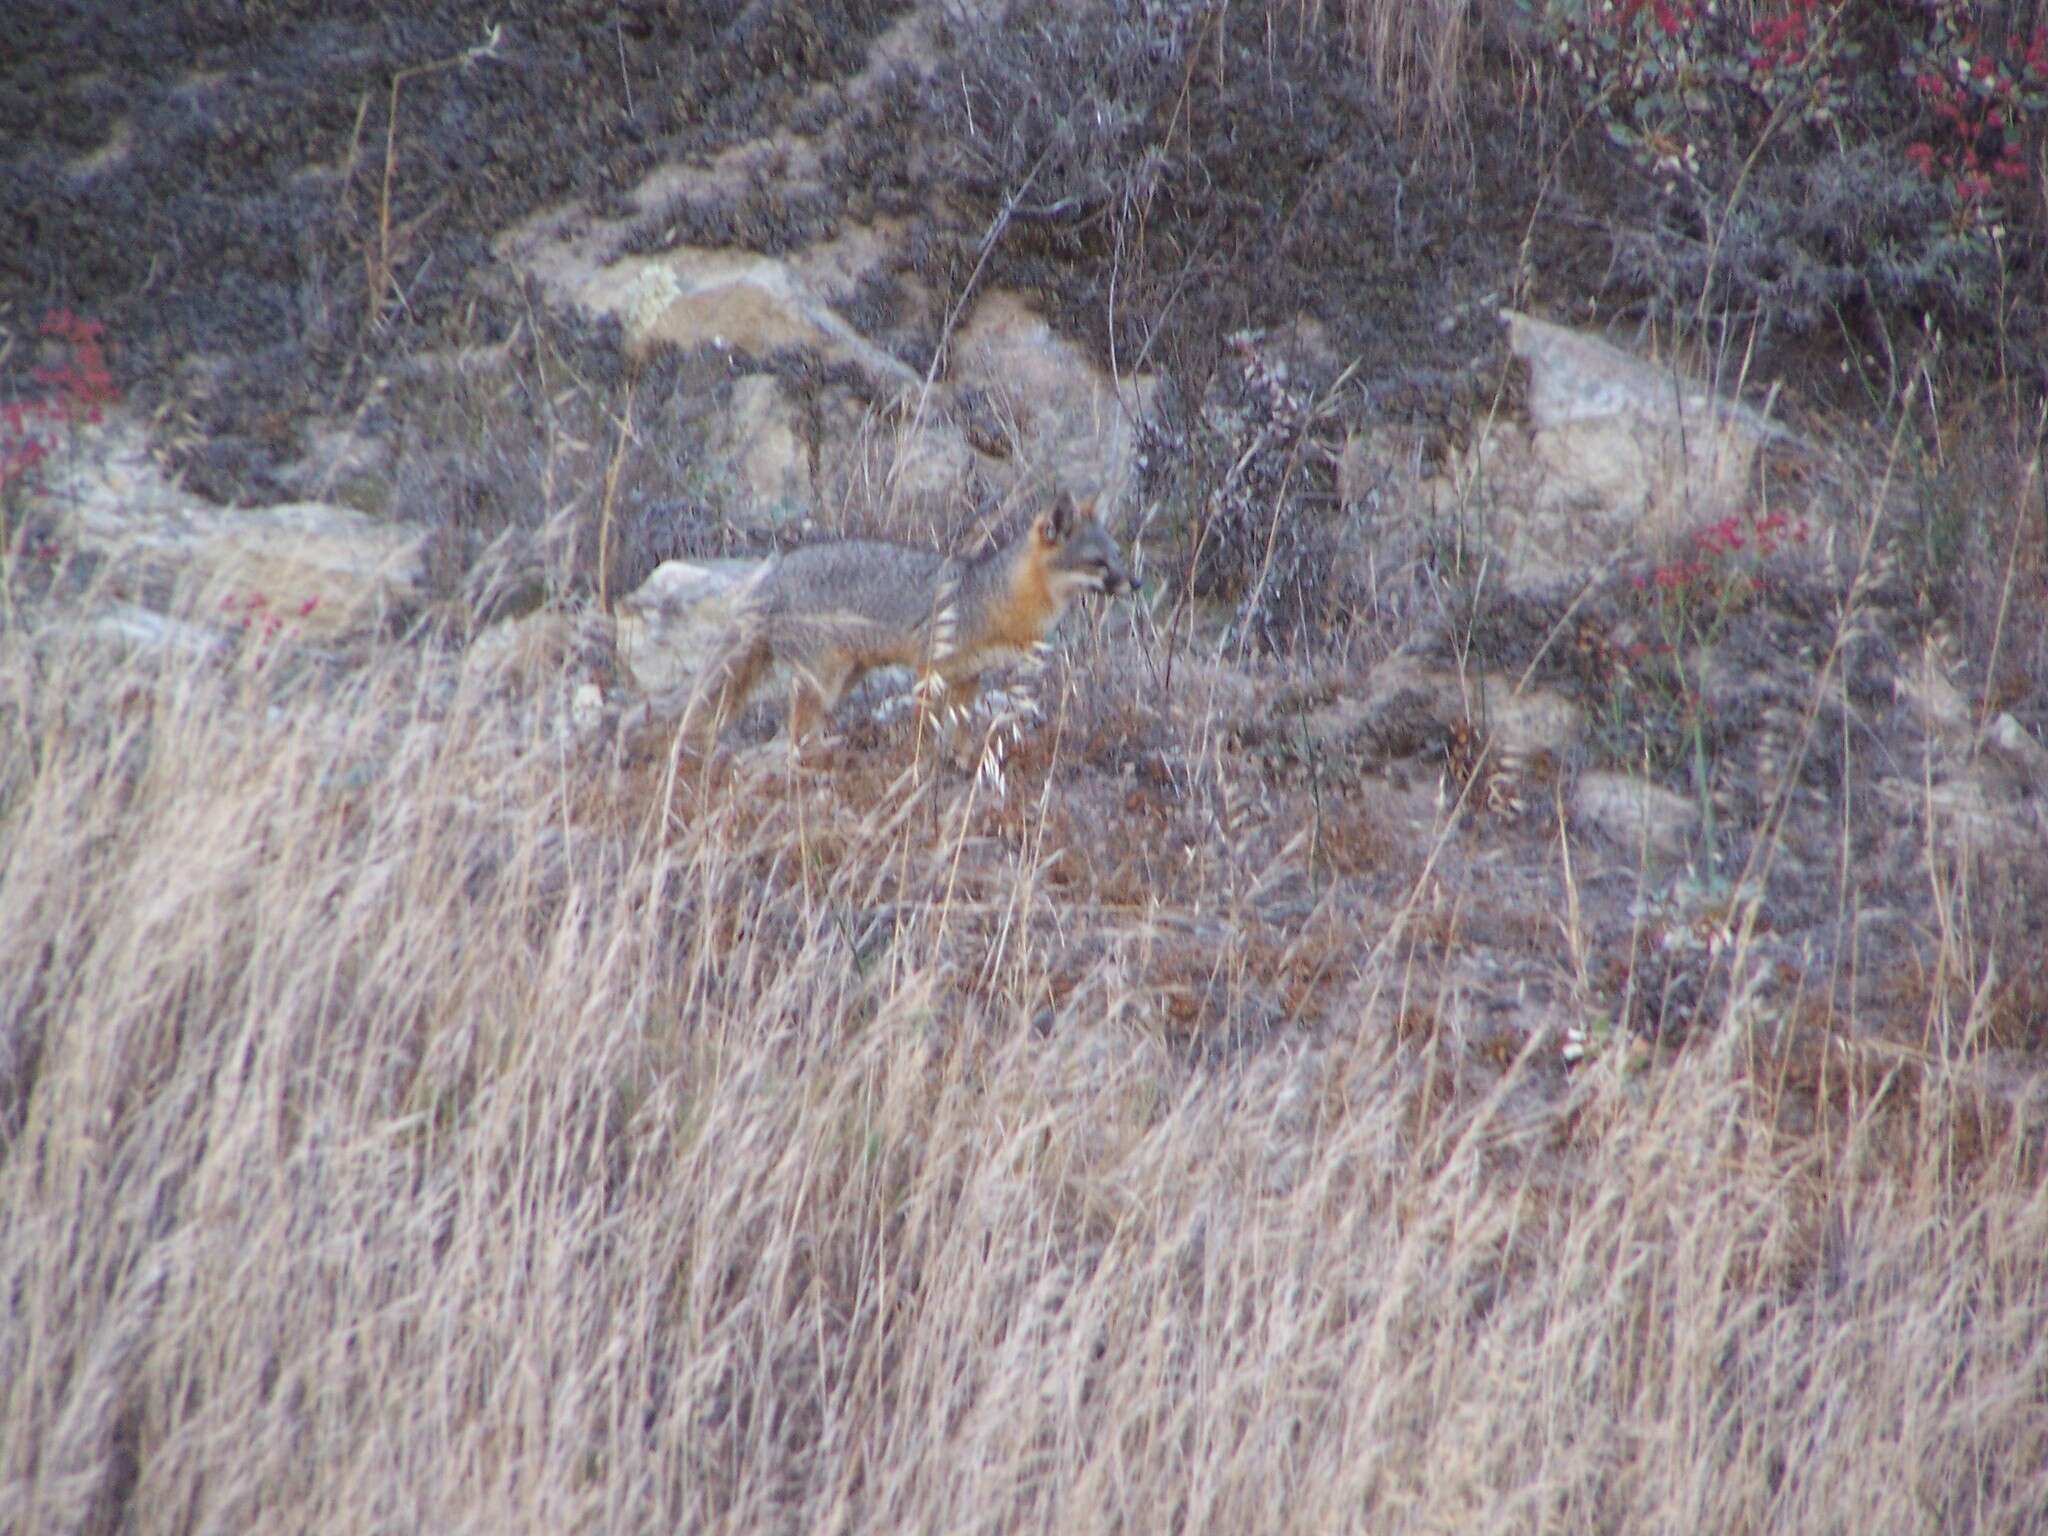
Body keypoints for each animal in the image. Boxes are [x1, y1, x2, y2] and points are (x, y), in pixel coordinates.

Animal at [684, 493, 1138, 757]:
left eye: (1118, 556)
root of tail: (777, 570)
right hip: (824, 680)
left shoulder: (968, 678)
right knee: (795, 730)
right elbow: (923, 728)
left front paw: (962, 766)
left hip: (843, 680)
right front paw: (919, 768)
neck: (992, 596)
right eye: (1099, 563)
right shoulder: (930, 668)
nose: (1136, 583)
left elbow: (961, 732)